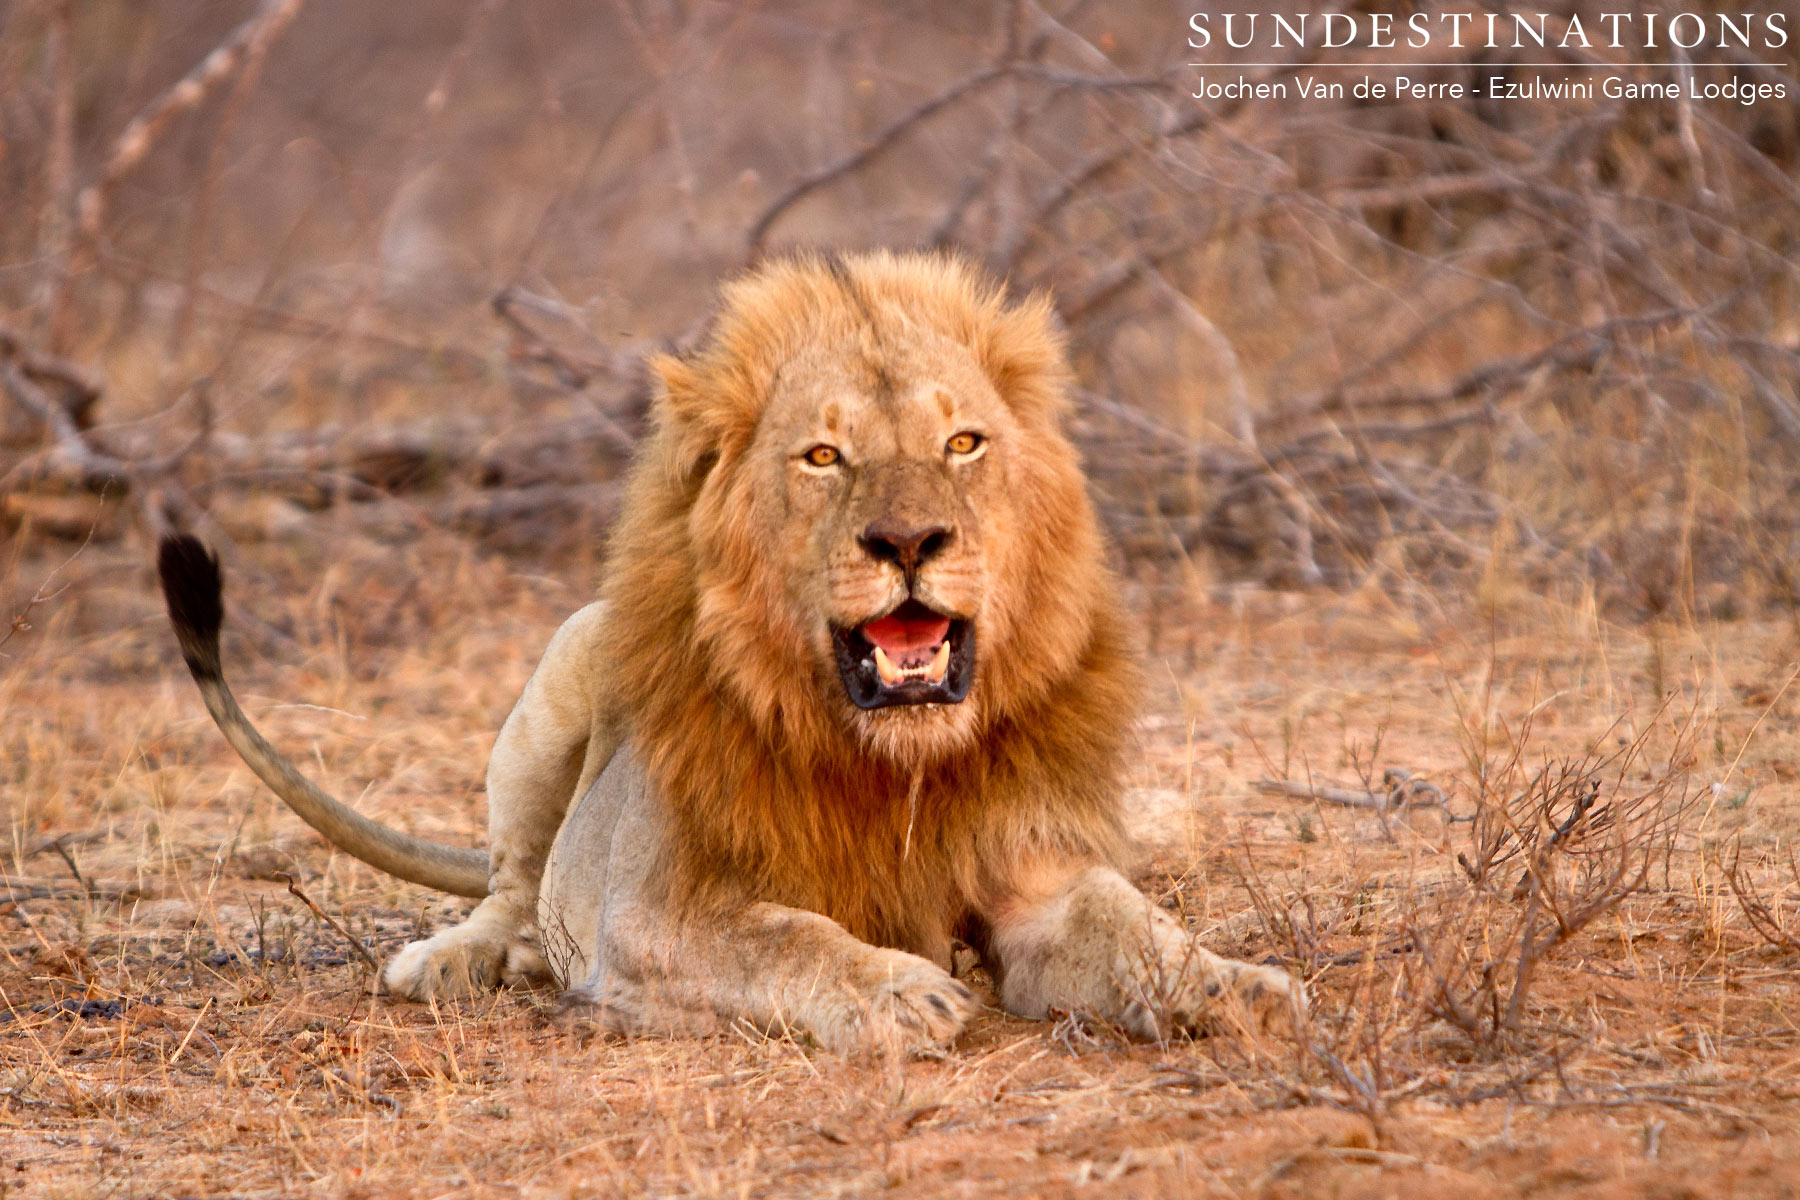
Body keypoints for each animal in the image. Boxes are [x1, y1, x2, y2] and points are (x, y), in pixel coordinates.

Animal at [158, 250, 1303, 1054]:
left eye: (963, 443)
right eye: (824, 456)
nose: (909, 541)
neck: (894, 765)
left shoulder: (1035, 875)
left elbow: (1132, 924)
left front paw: (1234, 986)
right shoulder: (651, 908)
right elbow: (784, 936)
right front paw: (899, 991)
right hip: (562, 672)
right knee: (513, 883)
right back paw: (459, 961)